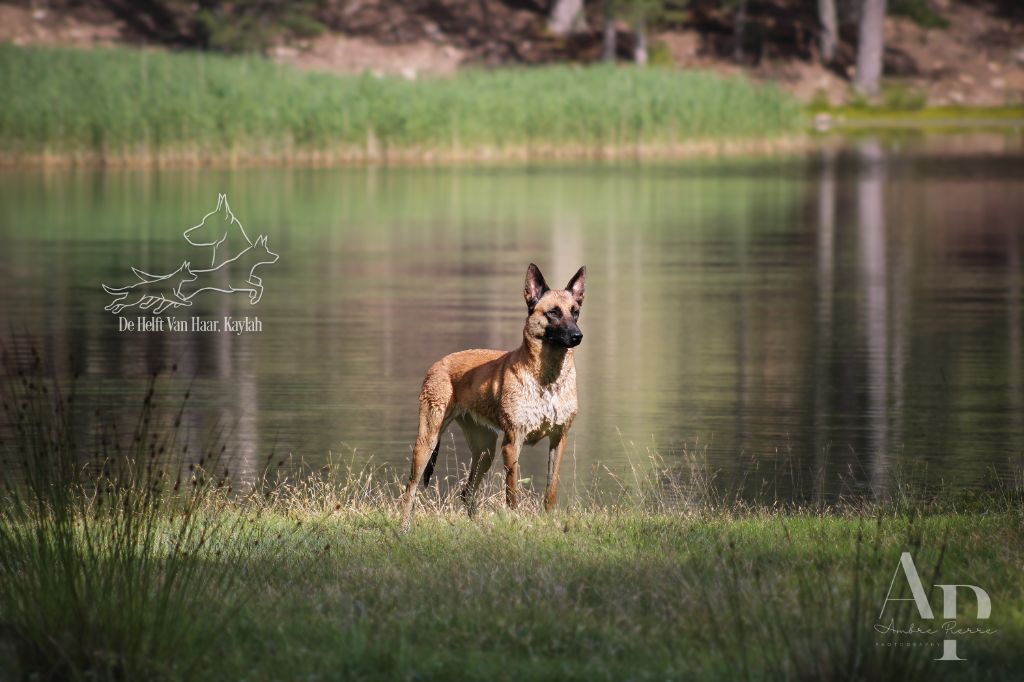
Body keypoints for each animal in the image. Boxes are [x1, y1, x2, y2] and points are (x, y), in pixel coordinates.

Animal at [397, 262, 585, 528]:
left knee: (467, 492)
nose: (577, 336)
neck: (546, 380)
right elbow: (512, 492)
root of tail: (437, 363)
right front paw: (516, 523)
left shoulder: (559, 439)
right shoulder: (512, 443)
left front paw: (550, 522)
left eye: (575, 311)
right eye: (553, 313)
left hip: (485, 449)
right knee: (410, 489)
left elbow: (551, 489)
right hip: (427, 440)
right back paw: (404, 528)